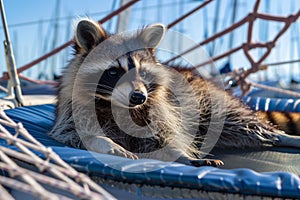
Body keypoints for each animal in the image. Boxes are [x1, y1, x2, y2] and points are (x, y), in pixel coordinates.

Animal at [48, 18, 300, 166]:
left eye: (143, 72)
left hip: (209, 103)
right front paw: (105, 142)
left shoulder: (159, 113)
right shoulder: (74, 112)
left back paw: (282, 136)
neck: (117, 106)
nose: (138, 97)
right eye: (113, 71)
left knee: (240, 122)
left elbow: (165, 140)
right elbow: (79, 134)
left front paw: (183, 155)